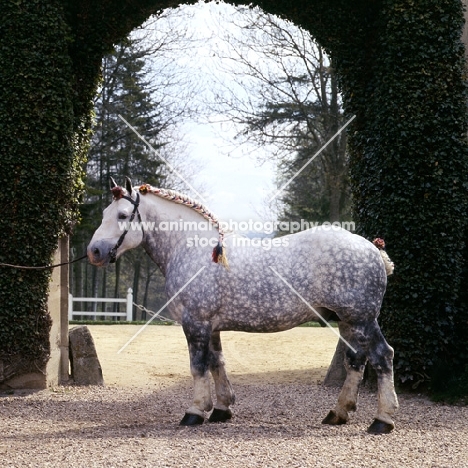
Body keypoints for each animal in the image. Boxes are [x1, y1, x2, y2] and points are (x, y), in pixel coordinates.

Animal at [88, 177, 398, 434]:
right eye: (104, 214)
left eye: (123, 215)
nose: (94, 251)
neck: (192, 249)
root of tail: (372, 249)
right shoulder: (211, 326)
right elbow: (217, 362)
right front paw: (221, 408)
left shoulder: (195, 323)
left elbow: (198, 366)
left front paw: (195, 411)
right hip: (347, 321)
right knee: (356, 361)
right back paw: (339, 412)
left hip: (362, 320)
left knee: (383, 356)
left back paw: (382, 420)